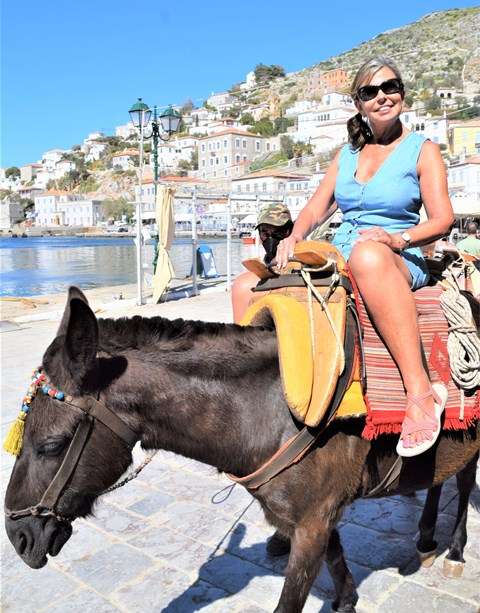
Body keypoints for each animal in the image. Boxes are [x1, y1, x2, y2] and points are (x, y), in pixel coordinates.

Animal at [4, 286, 480, 613]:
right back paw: (425, 536)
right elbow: (338, 558)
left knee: (464, 481)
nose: (18, 536)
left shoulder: (312, 522)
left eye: (52, 444)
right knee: (439, 478)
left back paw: (455, 549)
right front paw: (346, 599)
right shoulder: (315, 517)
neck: (271, 406)